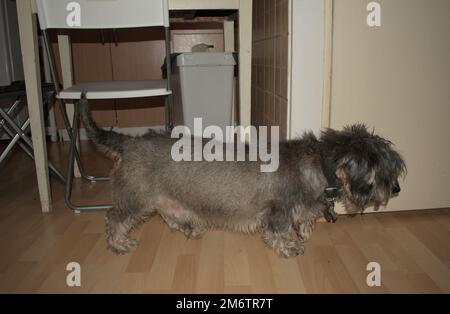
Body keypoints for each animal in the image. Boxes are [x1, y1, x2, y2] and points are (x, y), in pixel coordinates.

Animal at [79, 98, 406, 258]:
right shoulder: (277, 210)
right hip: (135, 198)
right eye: (384, 170)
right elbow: (279, 231)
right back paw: (119, 243)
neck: (319, 163)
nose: (398, 189)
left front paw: (305, 232)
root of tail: (129, 142)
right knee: (114, 219)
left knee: (169, 214)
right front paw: (289, 247)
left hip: (164, 197)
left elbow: (304, 219)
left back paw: (189, 226)